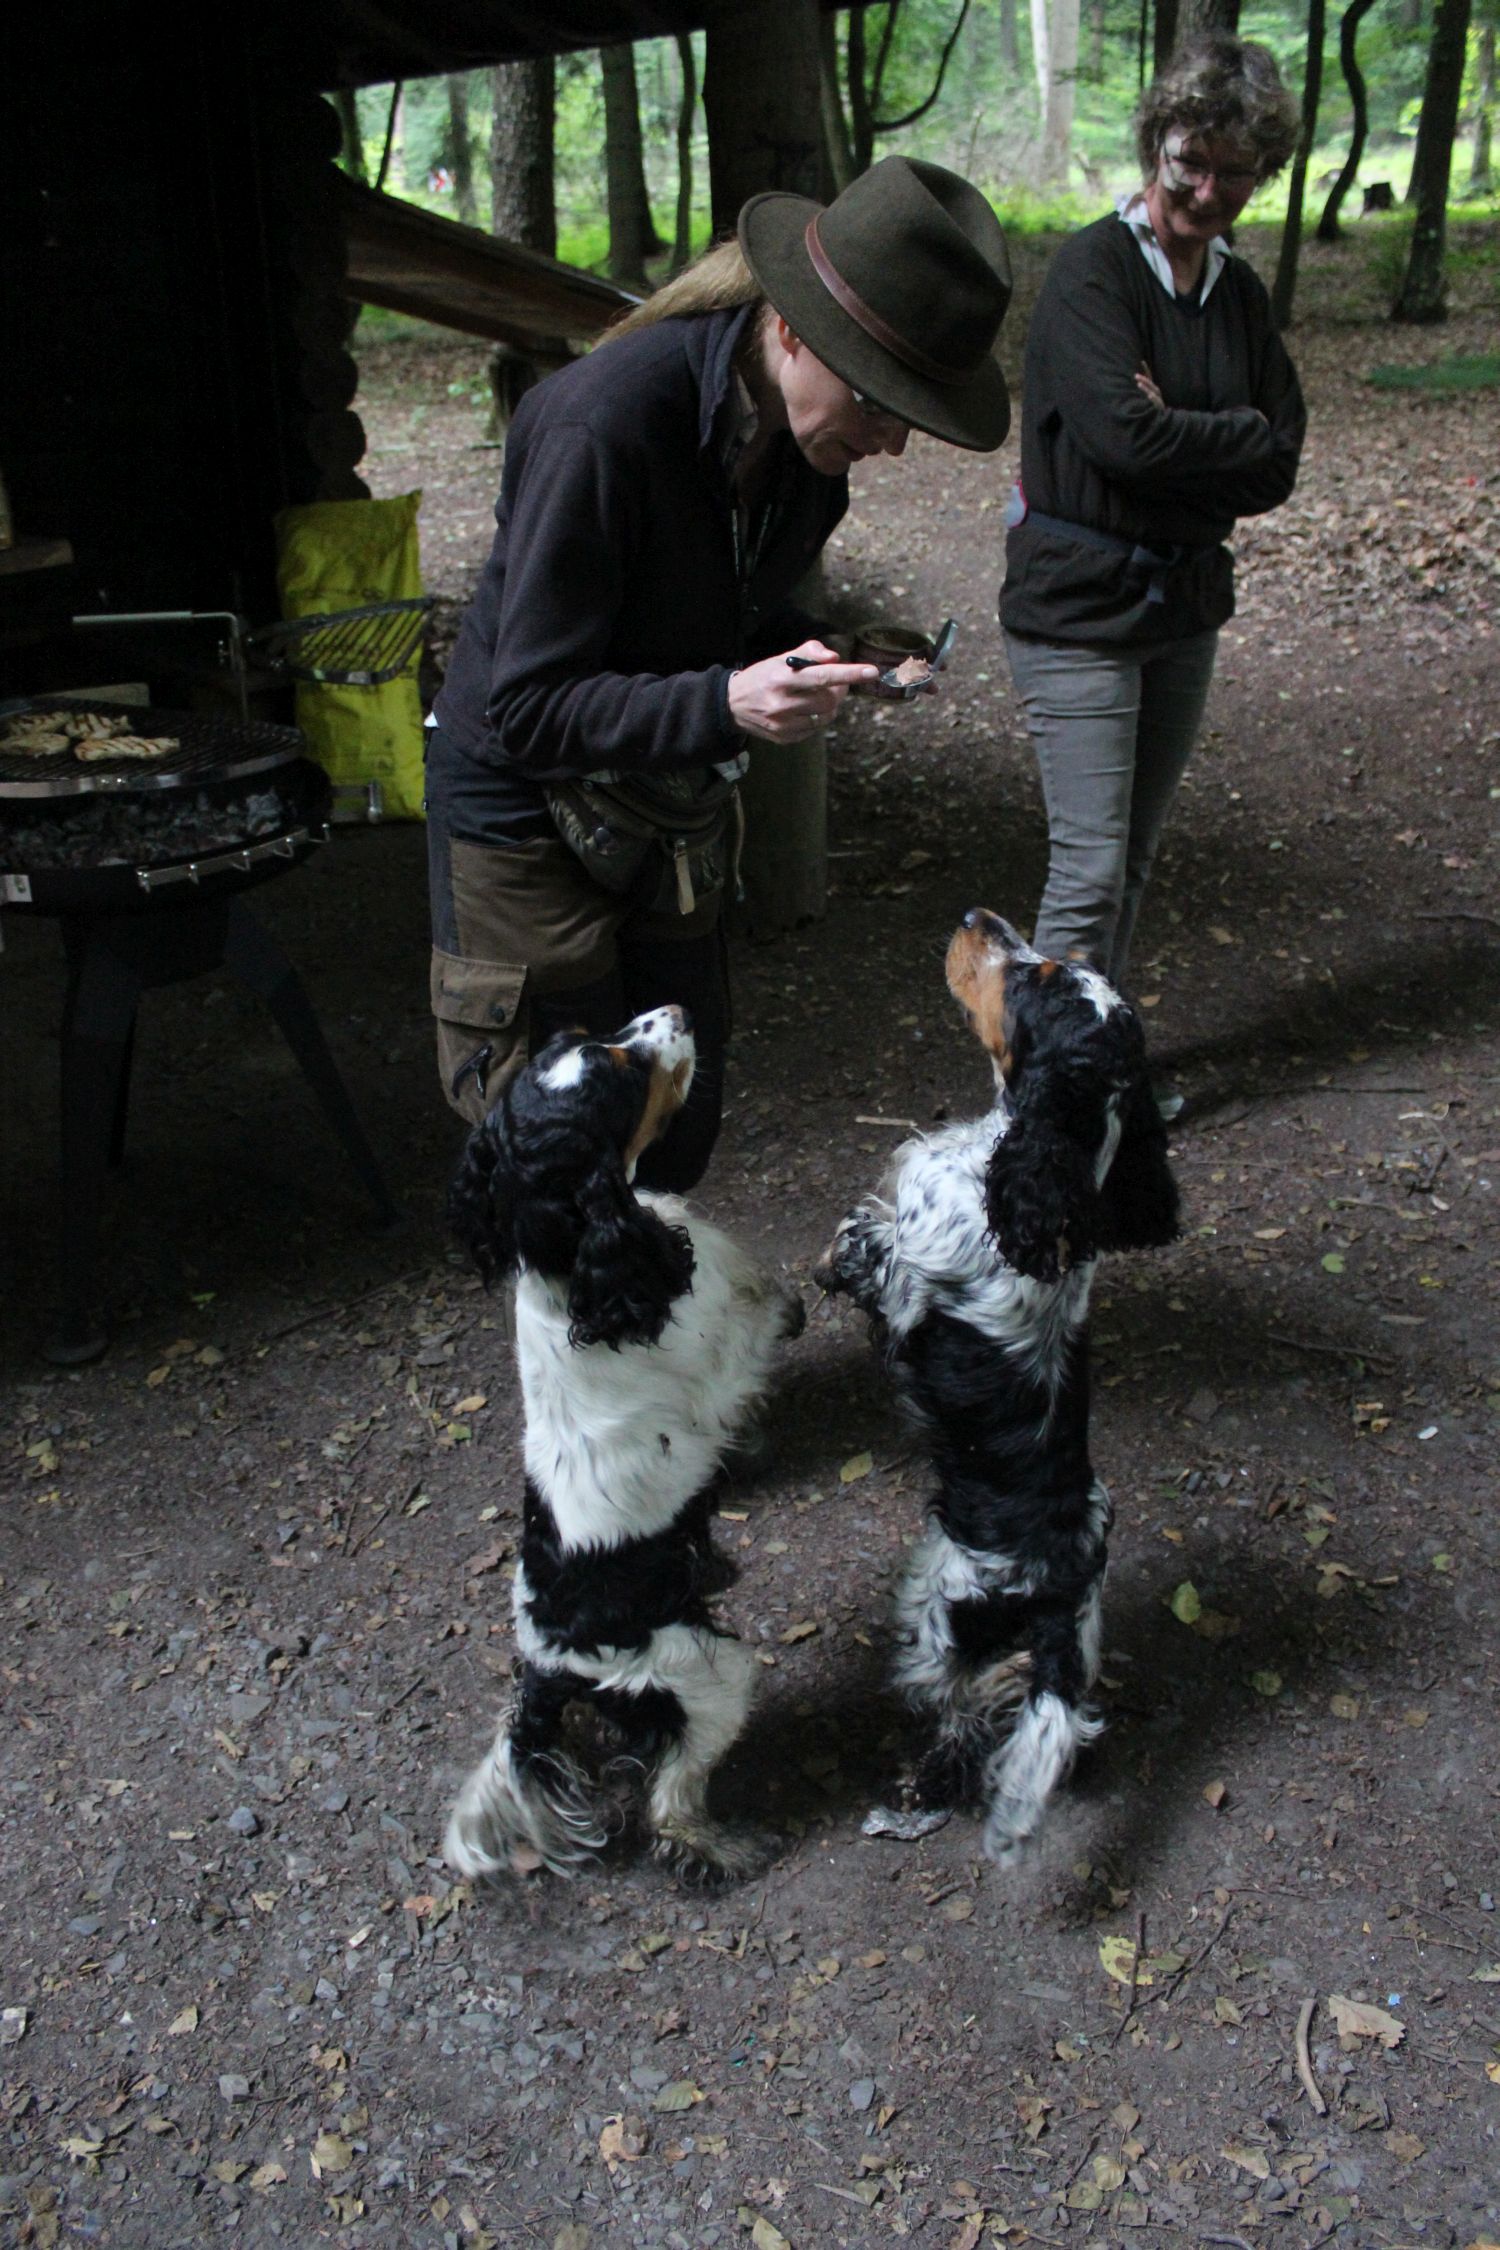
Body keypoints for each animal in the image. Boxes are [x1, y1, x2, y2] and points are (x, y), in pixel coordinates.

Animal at [443, 1005, 804, 1885]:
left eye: (579, 1038)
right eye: (624, 1073)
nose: (673, 1012)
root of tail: (552, 1671)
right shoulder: (723, 1345)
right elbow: (769, 1310)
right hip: (707, 1676)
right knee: (671, 1799)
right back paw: (727, 1846)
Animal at [815, 911, 1179, 1860]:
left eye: (1033, 978)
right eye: (1058, 964)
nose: (979, 919)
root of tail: (1056, 1598)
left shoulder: (909, 1268)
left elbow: (870, 1243)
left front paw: (838, 1255)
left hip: (938, 1612)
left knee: (971, 1702)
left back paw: (917, 1789)